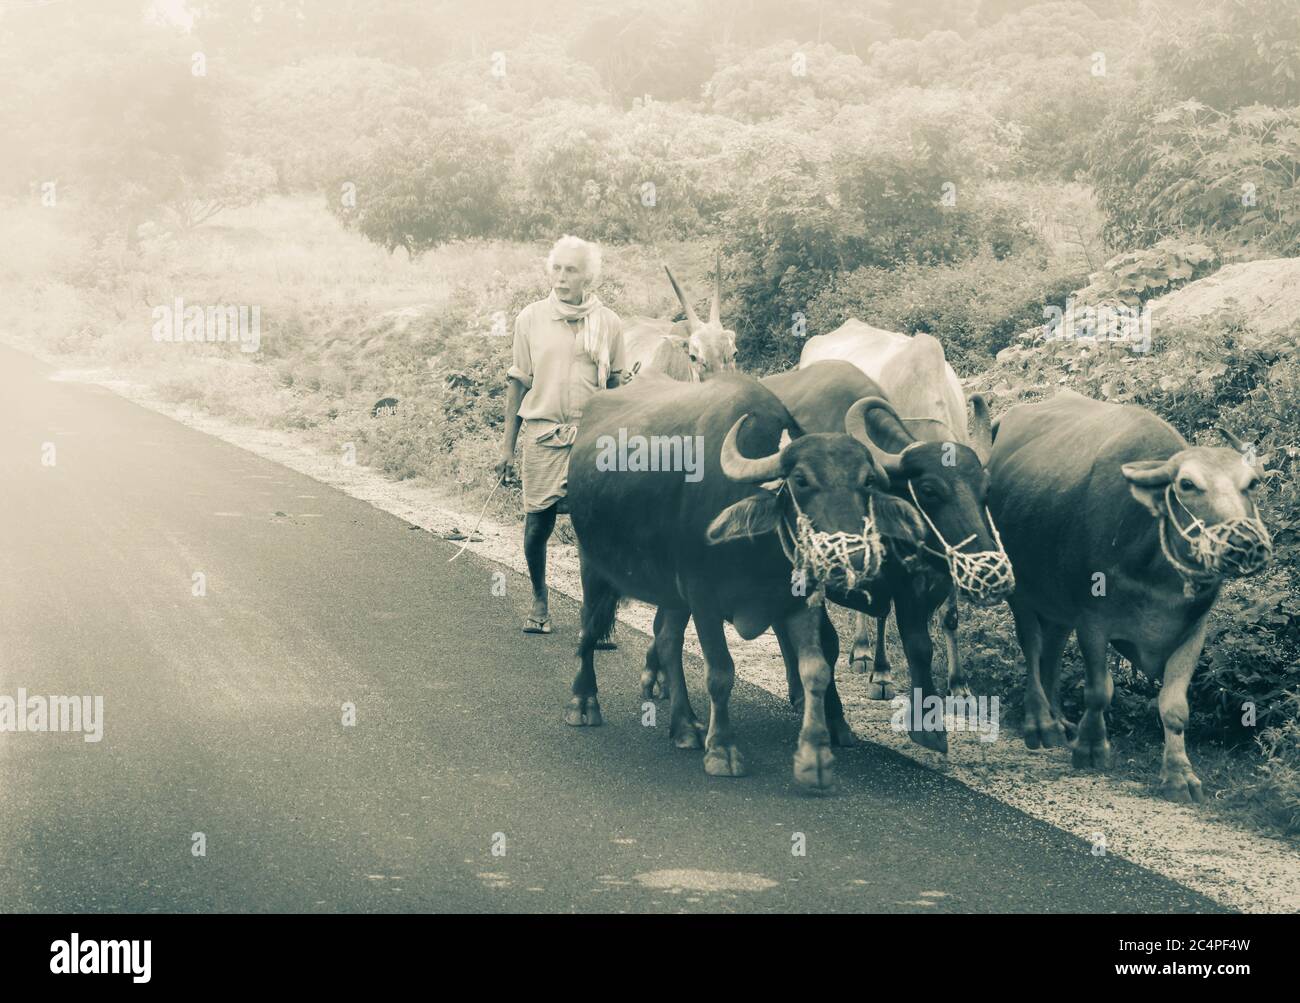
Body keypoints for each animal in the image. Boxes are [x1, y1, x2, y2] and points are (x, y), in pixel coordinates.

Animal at [564, 371, 920, 789]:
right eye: (801, 480)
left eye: (866, 482)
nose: (852, 556)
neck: (758, 551)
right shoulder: (703, 597)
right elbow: (720, 673)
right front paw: (722, 750)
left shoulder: (798, 600)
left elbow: (815, 669)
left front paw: (815, 758)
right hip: (592, 565)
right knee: (588, 630)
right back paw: (584, 703)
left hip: (670, 593)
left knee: (667, 641)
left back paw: (684, 726)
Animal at [987, 387, 1274, 805]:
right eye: (1187, 484)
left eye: (1251, 483)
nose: (1245, 543)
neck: (1157, 572)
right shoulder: (1093, 620)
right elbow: (1099, 690)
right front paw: (1091, 748)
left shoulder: (1193, 630)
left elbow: (1175, 707)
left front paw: (1179, 775)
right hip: (1021, 589)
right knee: (1033, 646)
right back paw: (1041, 724)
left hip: (1058, 605)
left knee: (1052, 649)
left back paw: (1059, 720)